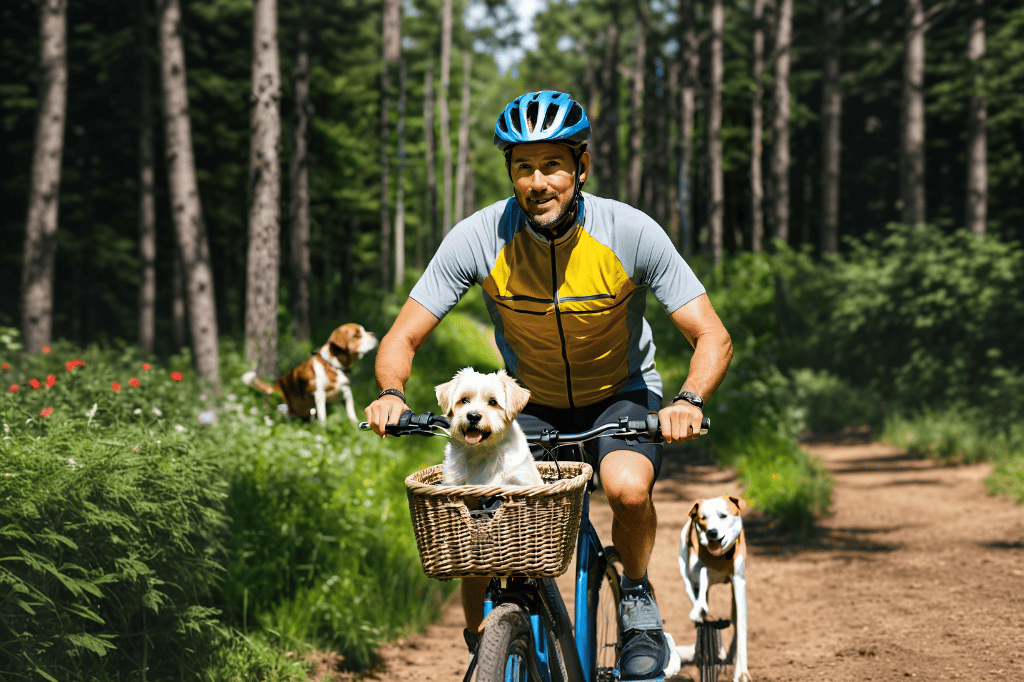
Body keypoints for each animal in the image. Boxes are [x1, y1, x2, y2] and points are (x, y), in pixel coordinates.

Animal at [241, 321, 378, 421]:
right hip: (283, 407)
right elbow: (323, 417)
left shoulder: (346, 392)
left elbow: (351, 414)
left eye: (364, 330)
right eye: (357, 335)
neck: (333, 365)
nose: (374, 334)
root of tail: (271, 388)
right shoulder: (320, 394)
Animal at [679, 493, 753, 679]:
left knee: (734, 620)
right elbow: (702, 575)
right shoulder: (697, 572)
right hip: (684, 570)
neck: (719, 557)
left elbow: (740, 626)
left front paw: (741, 672)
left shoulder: (738, 582)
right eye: (703, 518)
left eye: (723, 516)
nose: (712, 532)